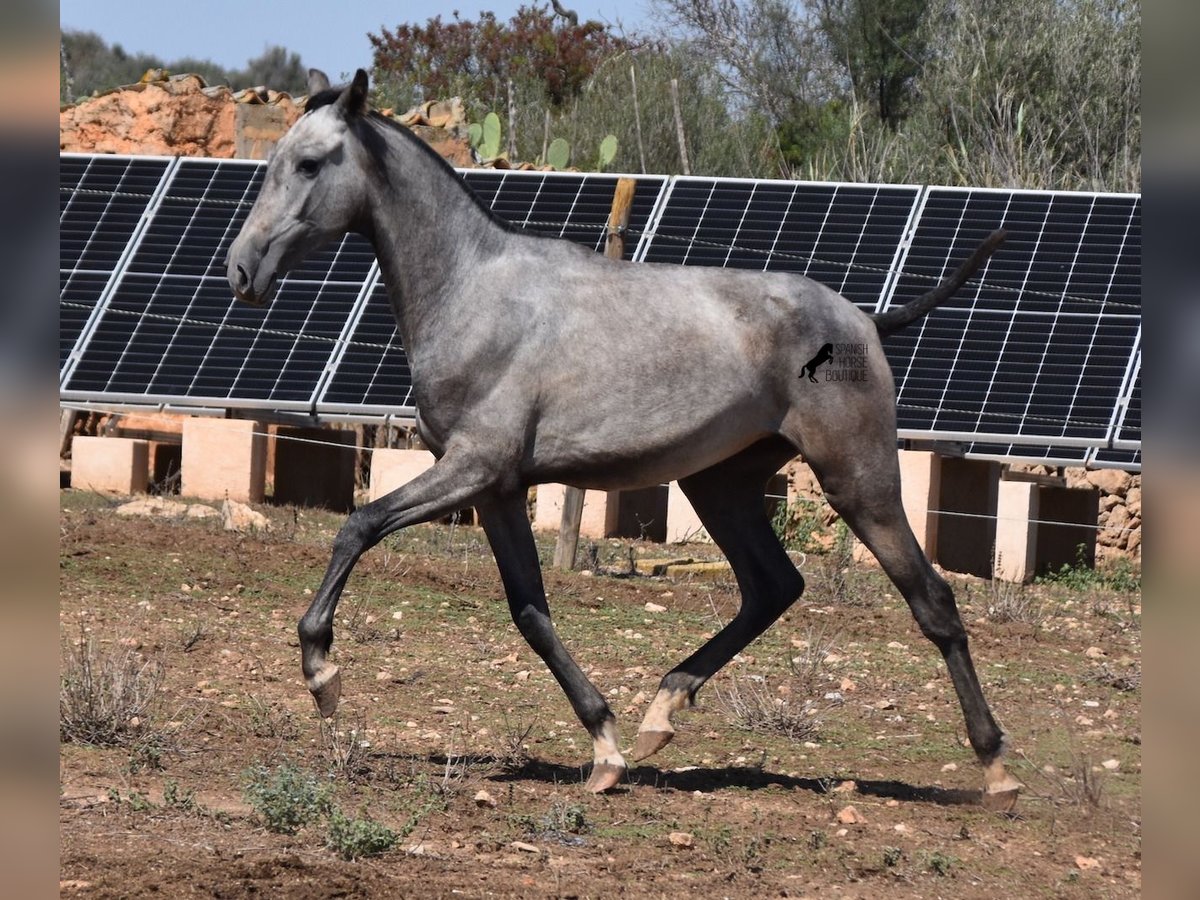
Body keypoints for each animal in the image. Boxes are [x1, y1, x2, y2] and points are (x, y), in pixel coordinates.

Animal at [226, 66, 1022, 806]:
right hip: (720, 483)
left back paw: (997, 770)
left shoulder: (473, 468)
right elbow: (531, 613)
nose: (241, 269)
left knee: (932, 602)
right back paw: (660, 712)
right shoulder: (498, 490)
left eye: (309, 164)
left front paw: (322, 676)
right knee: (773, 586)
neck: (471, 294)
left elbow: (357, 527)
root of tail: (865, 320)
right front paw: (604, 748)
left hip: (857, 478)